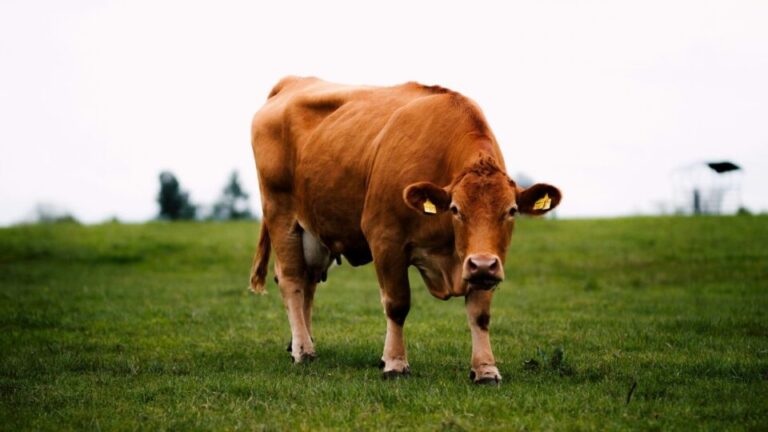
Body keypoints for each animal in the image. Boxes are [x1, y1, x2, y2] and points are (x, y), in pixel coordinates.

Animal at [249, 76, 561, 384]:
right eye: (456, 210)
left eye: (511, 211)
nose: (482, 264)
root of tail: (291, 83)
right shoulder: (386, 239)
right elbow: (397, 304)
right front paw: (395, 363)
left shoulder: (488, 260)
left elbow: (480, 313)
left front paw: (485, 369)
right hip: (281, 214)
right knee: (292, 280)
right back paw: (303, 350)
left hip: (313, 232)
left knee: (309, 282)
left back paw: (301, 342)